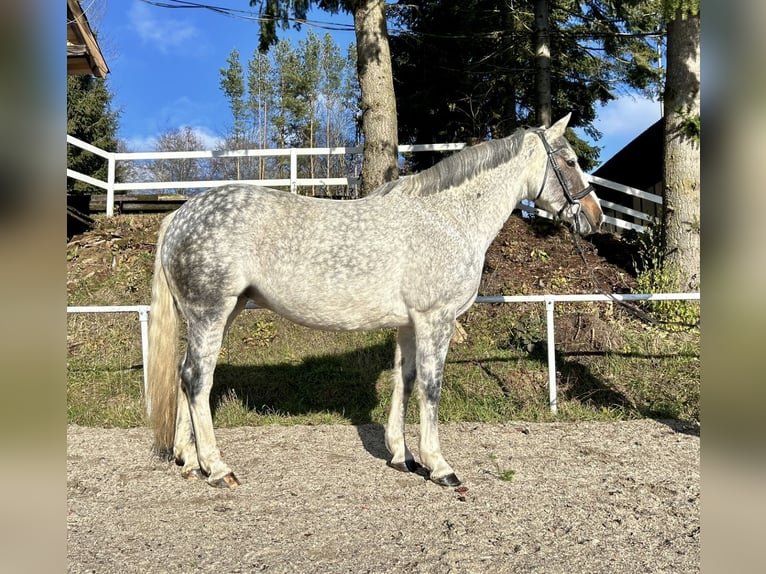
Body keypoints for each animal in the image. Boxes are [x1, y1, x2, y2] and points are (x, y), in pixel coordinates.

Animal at [147, 113, 604, 490]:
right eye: (569, 161)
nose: (595, 216)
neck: (449, 218)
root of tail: (180, 216)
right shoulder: (436, 319)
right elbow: (431, 386)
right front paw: (440, 466)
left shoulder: (409, 323)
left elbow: (405, 380)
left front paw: (403, 457)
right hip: (210, 312)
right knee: (197, 380)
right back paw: (217, 468)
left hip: (221, 312)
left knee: (186, 375)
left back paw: (190, 461)